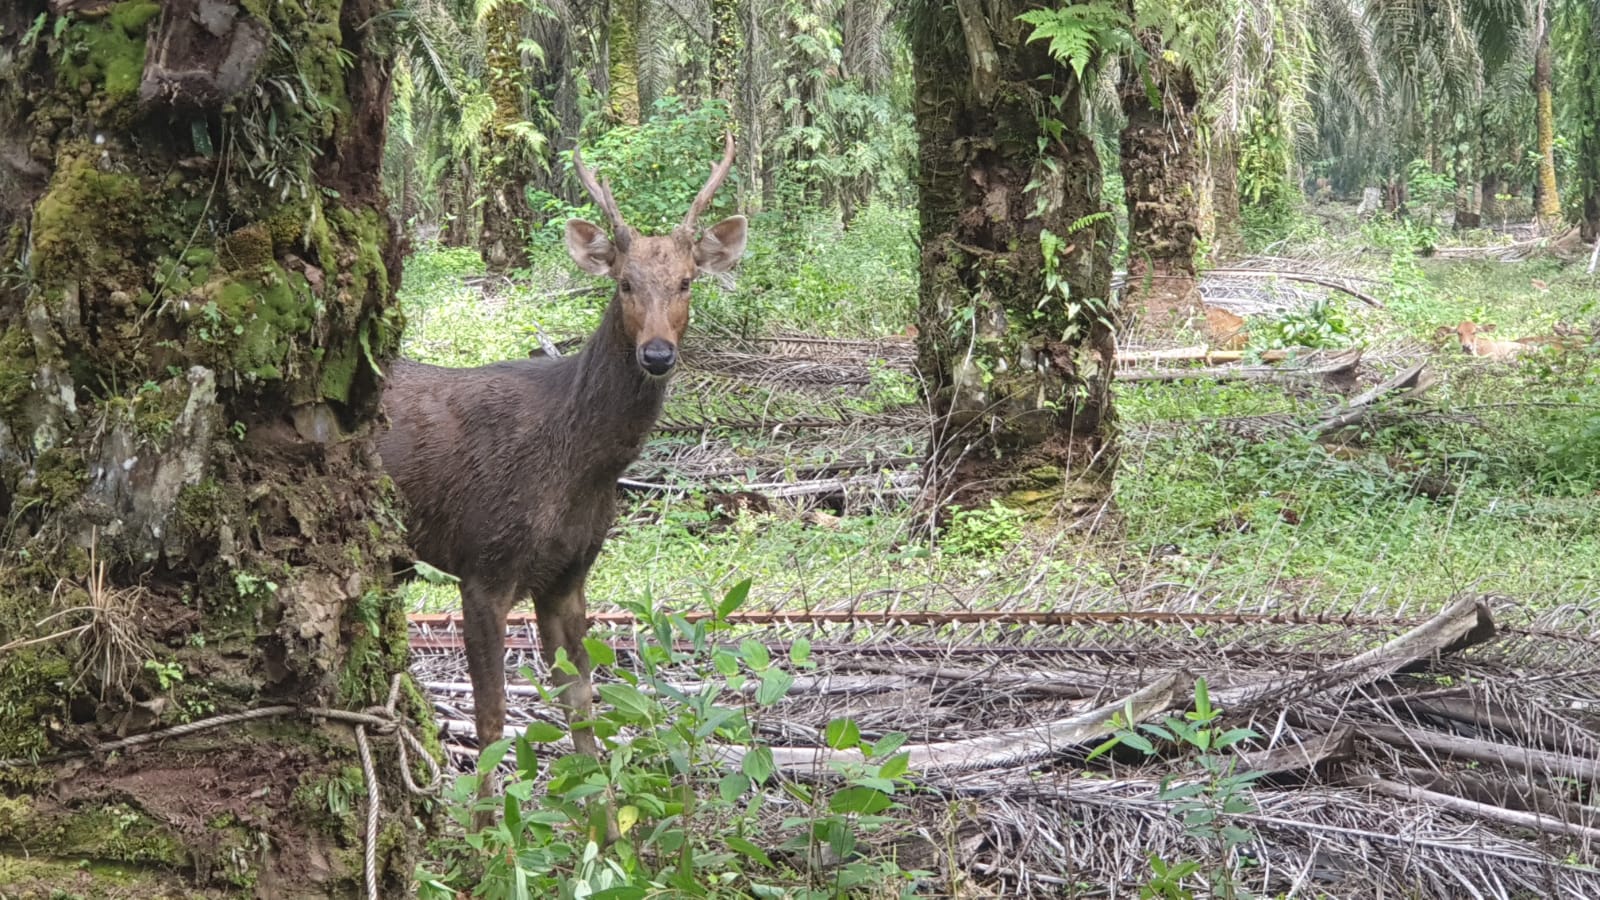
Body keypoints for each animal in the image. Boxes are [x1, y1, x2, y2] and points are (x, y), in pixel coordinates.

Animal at [377, 134, 745, 807]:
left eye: (686, 282)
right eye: (624, 283)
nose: (657, 353)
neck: (576, 468)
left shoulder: (568, 576)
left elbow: (584, 711)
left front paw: (603, 819)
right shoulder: (484, 564)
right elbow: (492, 719)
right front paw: (487, 829)